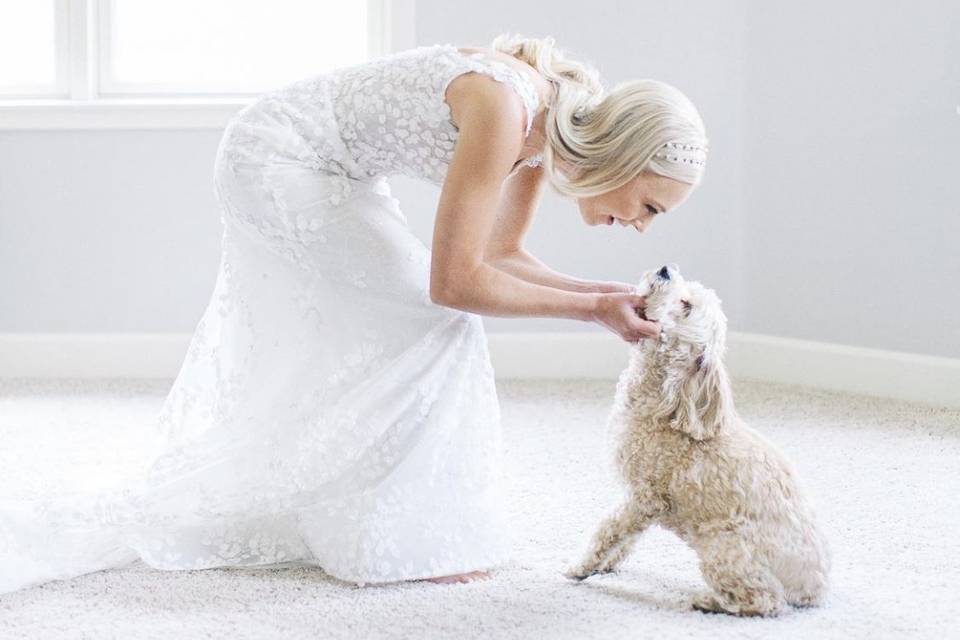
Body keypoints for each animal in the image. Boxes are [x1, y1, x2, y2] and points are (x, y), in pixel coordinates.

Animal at [568, 264, 828, 616]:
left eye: (686, 305)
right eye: (684, 291)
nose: (665, 269)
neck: (662, 404)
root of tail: (814, 589)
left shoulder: (645, 496)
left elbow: (608, 530)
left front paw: (582, 568)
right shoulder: (639, 503)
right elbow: (627, 538)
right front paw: (608, 565)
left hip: (723, 549)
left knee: (765, 601)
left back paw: (707, 601)